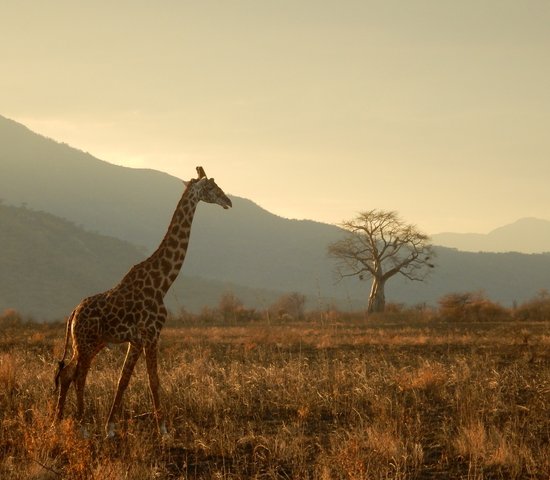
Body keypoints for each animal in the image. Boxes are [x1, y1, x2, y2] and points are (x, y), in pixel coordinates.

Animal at [52, 166, 232, 438]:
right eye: (211, 187)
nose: (228, 201)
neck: (163, 283)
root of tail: (73, 313)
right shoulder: (149, 335)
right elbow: (149, 380)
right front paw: (163, 430)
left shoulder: (138, 339)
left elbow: (127, 380)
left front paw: (112, 428)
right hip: (86, 343)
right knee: (79, 375)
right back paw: (81, 427)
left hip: (89, 343)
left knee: (67, 373)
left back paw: (57, 422)